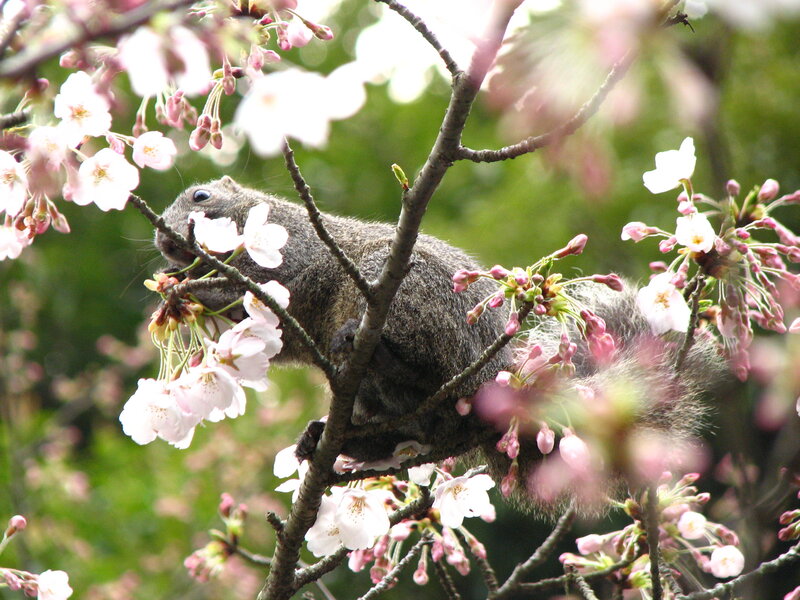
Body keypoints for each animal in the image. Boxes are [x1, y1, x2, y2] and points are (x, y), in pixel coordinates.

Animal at [155, 177, 727, 504]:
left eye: (202, 197)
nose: (164, 236)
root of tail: (489, 378)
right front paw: (178, 290)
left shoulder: (293, 256)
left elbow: (260, 285)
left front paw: (189, 288)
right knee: (409, 426)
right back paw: (336, 438)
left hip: (412, 299)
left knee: (421, 367)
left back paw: (375, 352)